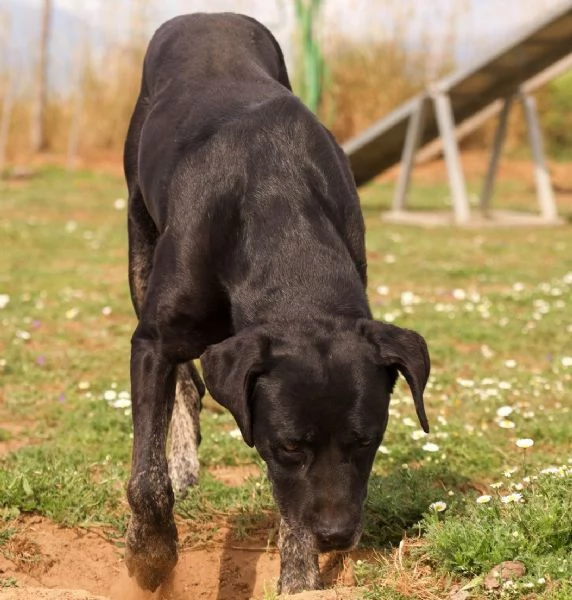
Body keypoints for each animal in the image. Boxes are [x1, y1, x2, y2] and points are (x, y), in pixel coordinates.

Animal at [125, 12, 428, 596]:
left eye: (367, 441)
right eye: (289, 446)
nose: (336, 537)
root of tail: (208, 14)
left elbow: (292, 508)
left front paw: (300, 574)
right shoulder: (152, 341)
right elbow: (145, 481)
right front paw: (151, 557)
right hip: (139, 251)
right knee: (183, 382)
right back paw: (181, 462)